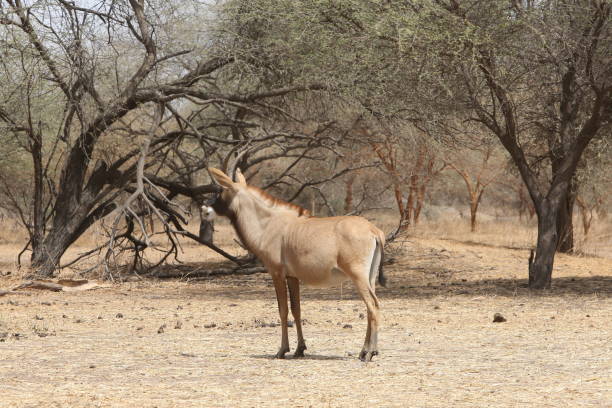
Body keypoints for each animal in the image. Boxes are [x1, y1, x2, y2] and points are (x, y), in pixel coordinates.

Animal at [206, 167, 388, 362]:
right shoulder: (292, 277)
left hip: (357, 275)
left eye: (221, 190)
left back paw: (368, 353)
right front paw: (300, 349)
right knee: (371, 307)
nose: (205, 210)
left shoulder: (276, 273)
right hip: (369, 277)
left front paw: (282, 350)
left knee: (373, 305)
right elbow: (296, 310)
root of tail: (374, 231)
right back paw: (366, 351)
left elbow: (283, 310)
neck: (268, 223)